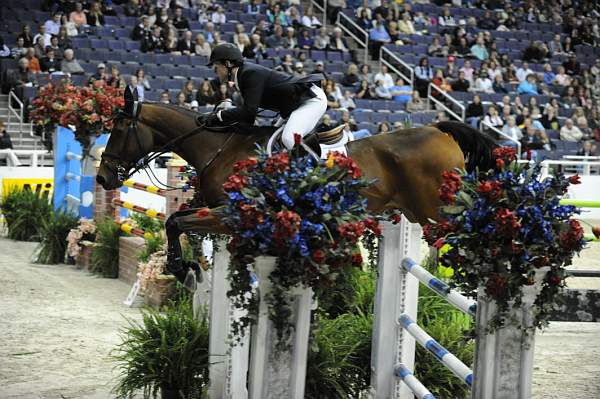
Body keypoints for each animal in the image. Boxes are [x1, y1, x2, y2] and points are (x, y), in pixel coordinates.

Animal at [97, 101, 496, 286]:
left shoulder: (230, 215)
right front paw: (185, 268)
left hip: (438, 212)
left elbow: (176, 224)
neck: (220, 148)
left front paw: (182, 270)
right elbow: (175, 220)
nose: (102, 178)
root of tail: (440, 132)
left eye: (118, 131)